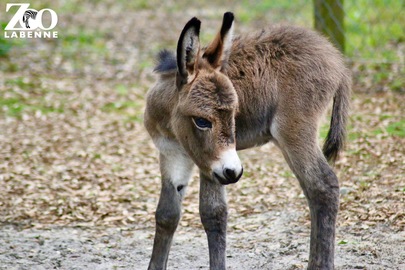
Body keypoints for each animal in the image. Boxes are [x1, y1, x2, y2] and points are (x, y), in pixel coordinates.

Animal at [145, 11, 350, 268]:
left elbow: (213, 214)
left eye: (235, 113)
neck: (172, 125)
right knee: (312, 189)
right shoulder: (172, 154)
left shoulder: (209, 163)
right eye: (202, 121)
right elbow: (167, 214)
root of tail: (336, 59)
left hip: (294, 132)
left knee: (323, 186)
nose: (234, 172)